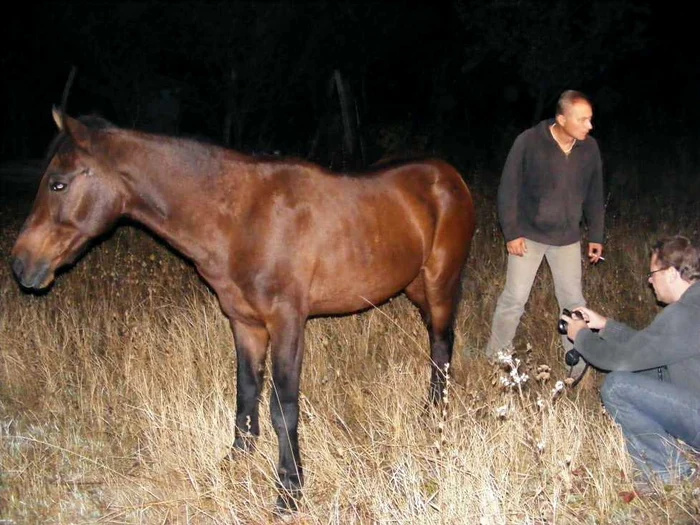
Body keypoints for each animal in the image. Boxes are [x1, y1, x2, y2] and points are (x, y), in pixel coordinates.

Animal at [10, 109, 476, 508]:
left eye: (58, 183)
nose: (20, 264)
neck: (241, 218)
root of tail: (449, 176)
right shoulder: (244, 323)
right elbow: (247, 392)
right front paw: (236, 460)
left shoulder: (288, 322)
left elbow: (283, 407)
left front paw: (289, 491)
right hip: (414, 286)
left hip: (440, 284)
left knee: (441, 345)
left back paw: (435, 414)